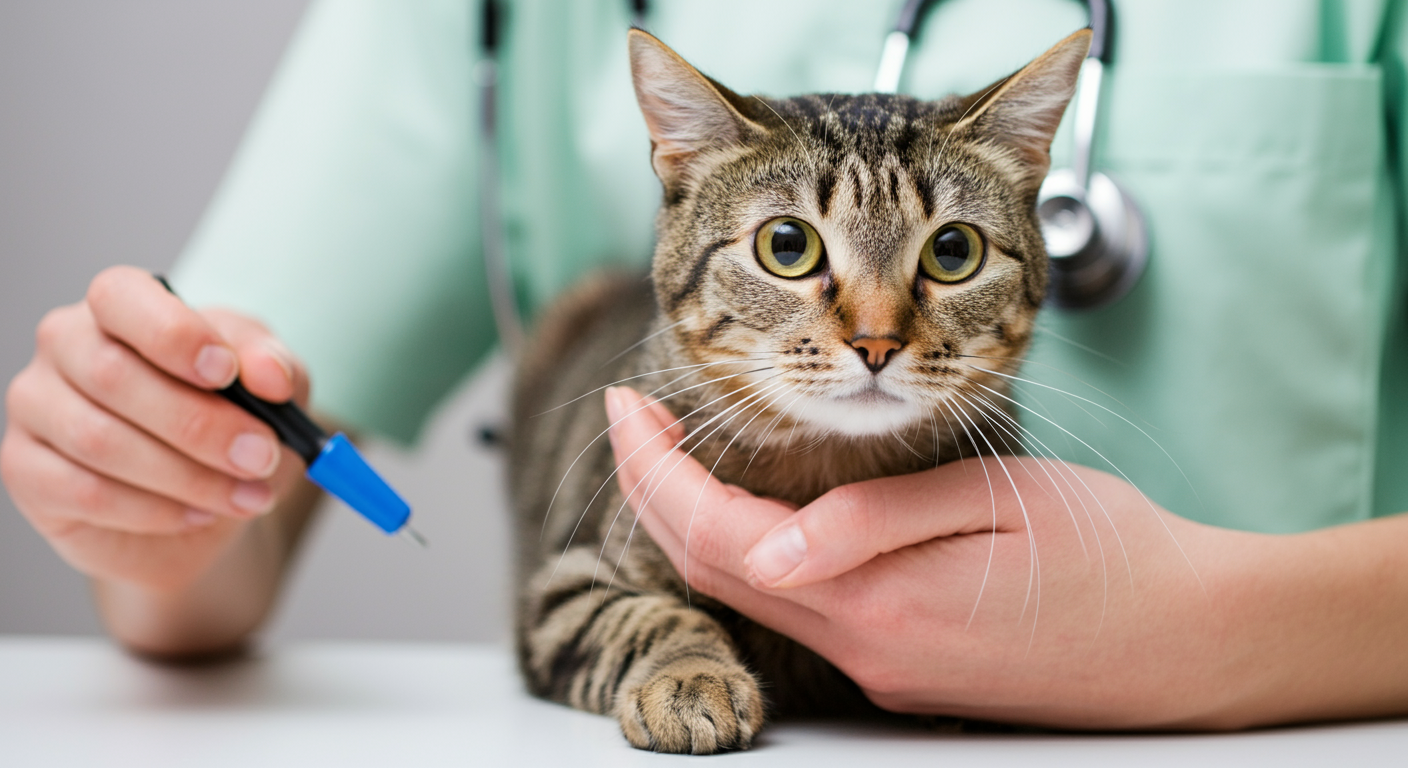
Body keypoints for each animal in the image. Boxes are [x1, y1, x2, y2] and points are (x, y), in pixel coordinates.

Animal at [506, 26, 1086, 749]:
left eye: (953, 251)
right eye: (787, 245)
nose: (876, 342)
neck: (824, 469)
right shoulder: (564, 587)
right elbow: (651, 618)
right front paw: (689, 675)